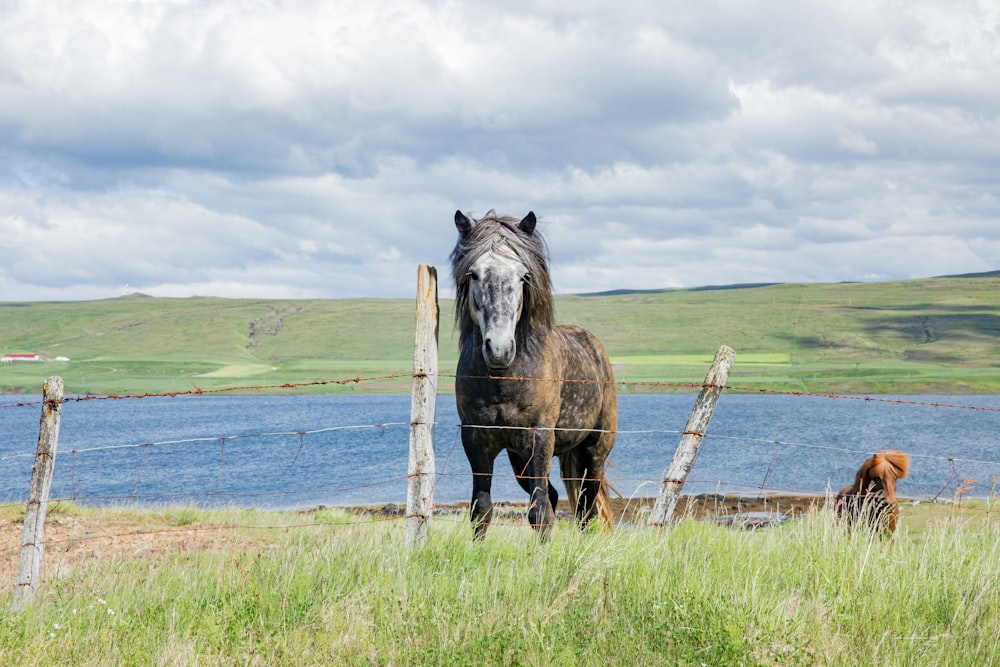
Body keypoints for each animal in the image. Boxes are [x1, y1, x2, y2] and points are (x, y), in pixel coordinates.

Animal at [450, 211, 612, 540]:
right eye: (473, 274)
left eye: (523, 275)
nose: (499, 349)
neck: (504, 383)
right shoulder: (475, 440)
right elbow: (481, 510)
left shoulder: (539, 439)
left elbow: (540, 513)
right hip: (520, 458)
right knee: (559, 498)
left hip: (594, 450)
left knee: (587, 507)